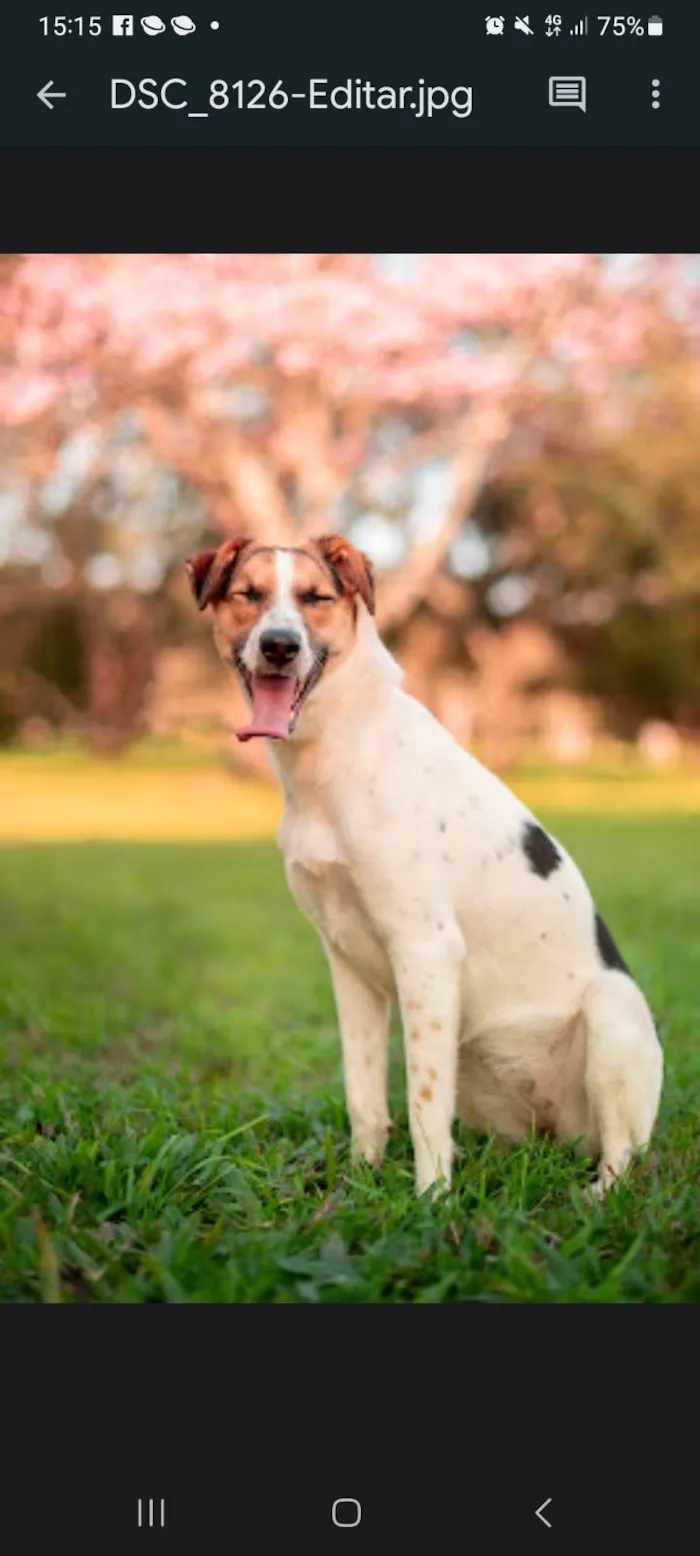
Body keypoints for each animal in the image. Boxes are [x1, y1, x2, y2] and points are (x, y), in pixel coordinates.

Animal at [185, 529, 662, 1195]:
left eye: (315, 598)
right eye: (247, 596)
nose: (280, 645)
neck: (336, 751)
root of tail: (560, 1134)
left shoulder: (426, 950)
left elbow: (421, 1102)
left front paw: (430, 1199)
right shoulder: (346, 961)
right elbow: (364, 1094)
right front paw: (360, 1180)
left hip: (611, 1017)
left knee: (621, 1153)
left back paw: (597, 1194)